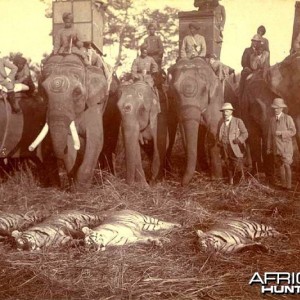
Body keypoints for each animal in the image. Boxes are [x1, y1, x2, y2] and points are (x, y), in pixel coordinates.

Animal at [39, 54, 108, 190]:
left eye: (77, 92)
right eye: (43, 92)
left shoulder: (93, 105)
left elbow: (96, 140)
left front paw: (81, 188)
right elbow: (69, 144)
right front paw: (74, 184)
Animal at [169, 56, 225, 185]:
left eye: (204, 90)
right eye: (174, 91)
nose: (182, 183)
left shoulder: (216, 96)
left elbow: (214, 126)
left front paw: (217, 179)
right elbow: (184, 130)